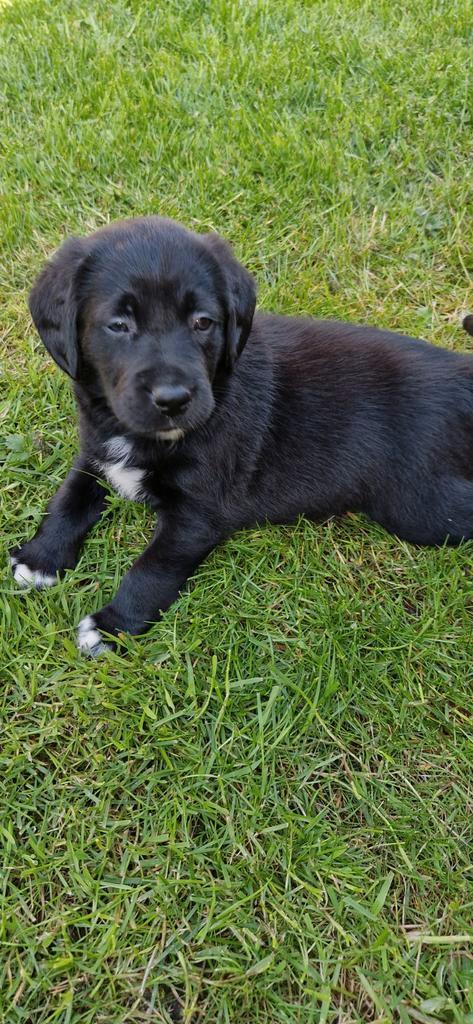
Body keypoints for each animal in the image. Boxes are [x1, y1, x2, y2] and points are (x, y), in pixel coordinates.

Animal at [9, 218, 473, 655]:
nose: (173, 399)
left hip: (418, 506)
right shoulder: (95, 452)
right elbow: (67, 501)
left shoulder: (198, 513)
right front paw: (40, 558)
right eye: (118, 325)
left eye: (202, 322)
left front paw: (112, 626)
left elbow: (152, 569)